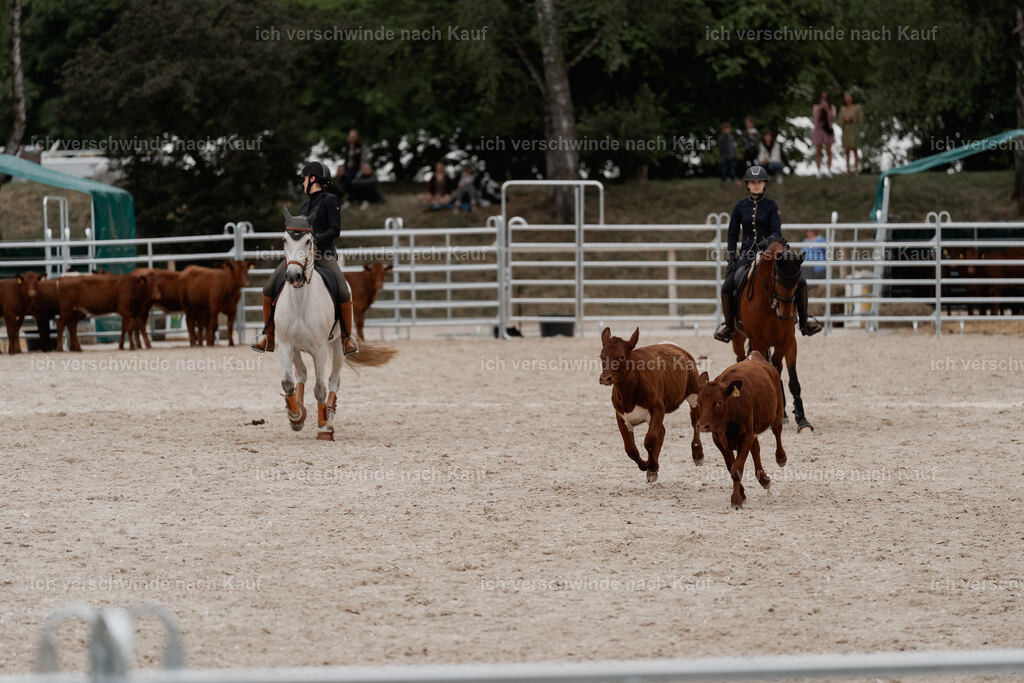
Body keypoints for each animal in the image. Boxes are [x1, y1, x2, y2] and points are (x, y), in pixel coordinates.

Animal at [275, 212, 397, 440]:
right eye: (284, 240)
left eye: (308, 241)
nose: (293, 275)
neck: (300, 301)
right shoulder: (286, 345)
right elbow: (287, 383)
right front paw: (295, 416)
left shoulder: (320, 350)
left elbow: (320, 388)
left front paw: (324, 427)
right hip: (296, 349)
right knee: (301, 374)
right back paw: (300, 412)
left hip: (338, 345)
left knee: (333, 381)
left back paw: (329, 416)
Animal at [731, 238, 813, 433]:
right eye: (777, 278)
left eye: (798, 281)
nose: (786, 315)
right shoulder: (758, 342)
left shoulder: (788, 341)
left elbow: (792, 380)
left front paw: (802, 420)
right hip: (739, 339)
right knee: (741, 360)